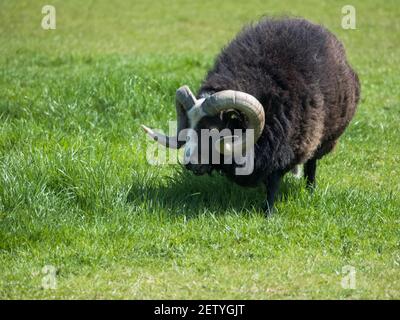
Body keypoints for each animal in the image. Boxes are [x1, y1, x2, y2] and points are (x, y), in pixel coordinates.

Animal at [142, 16, 360, 212]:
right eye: (189, 127)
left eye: (214, 130)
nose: (190, 164)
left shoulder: (281, 149)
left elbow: (273, 183)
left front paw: (268, 213)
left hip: (323, 138)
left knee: (311, 164)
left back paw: (310, 190)